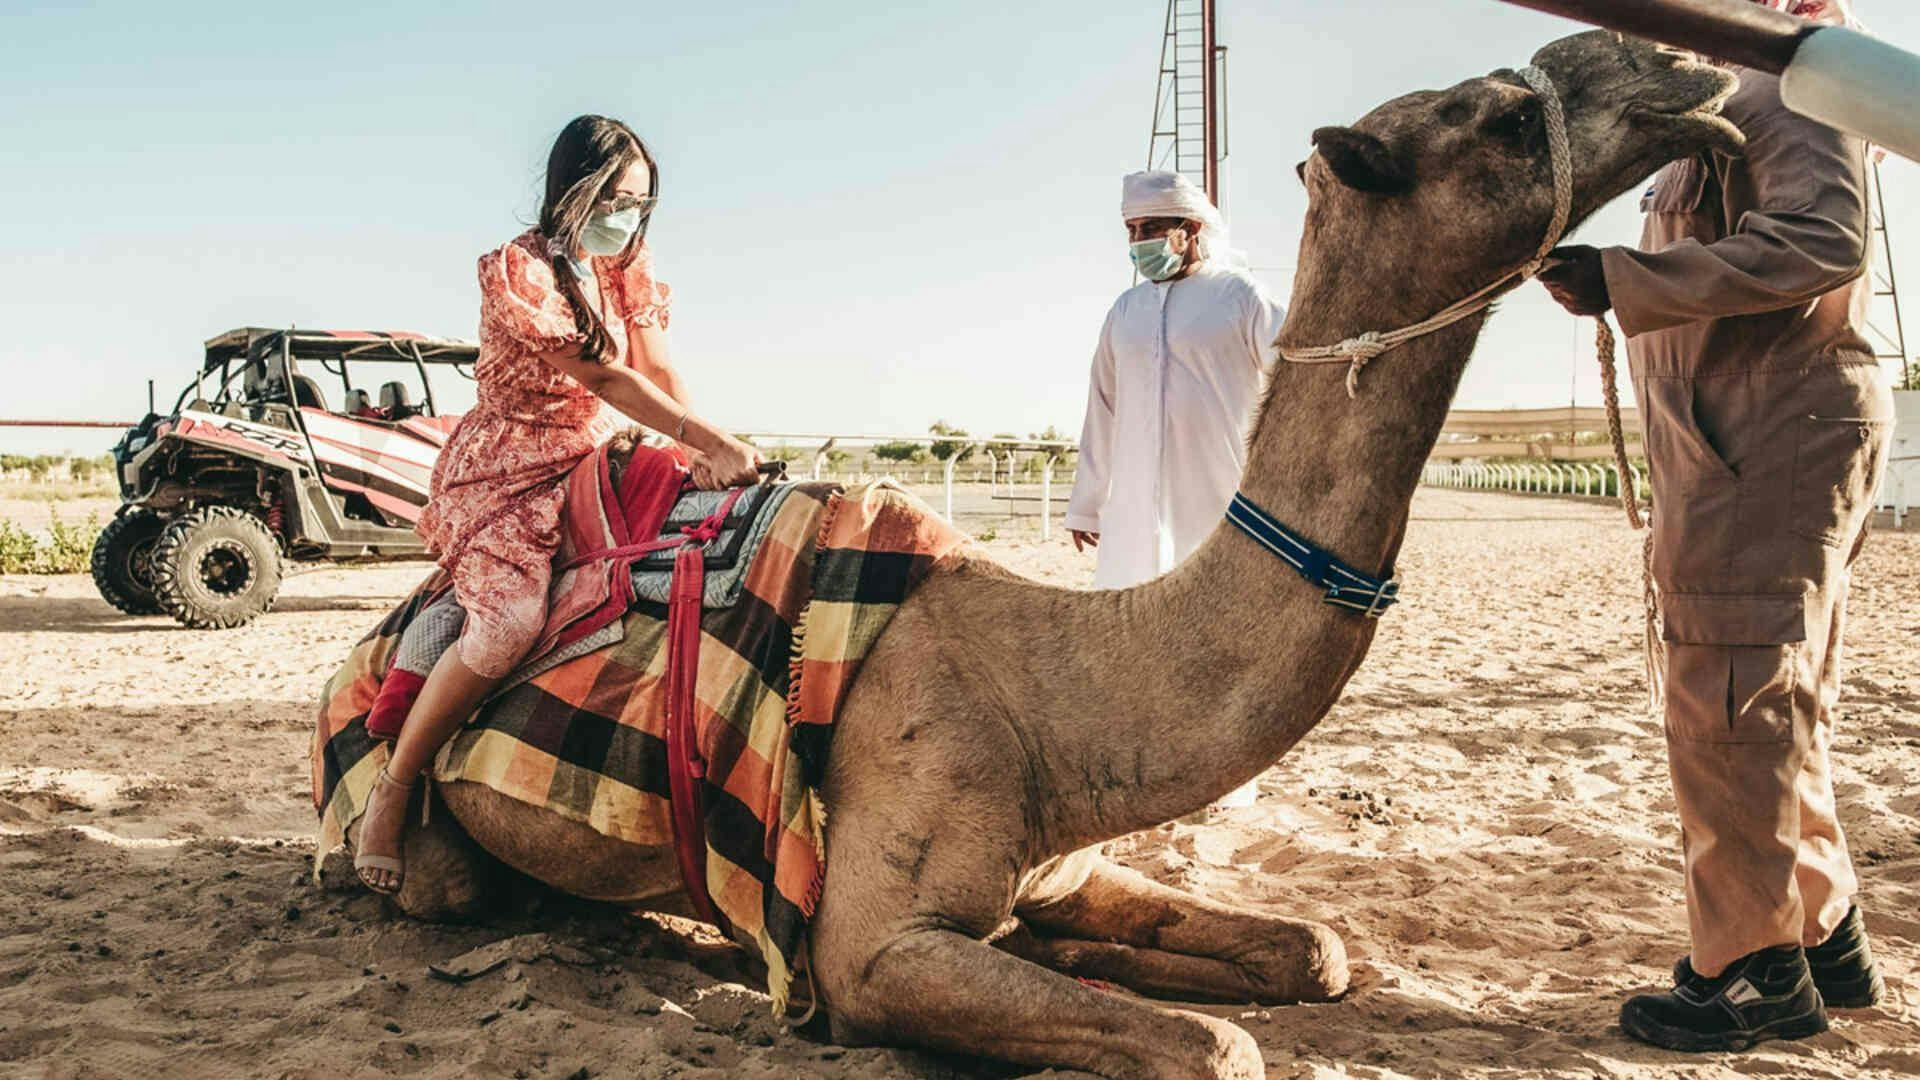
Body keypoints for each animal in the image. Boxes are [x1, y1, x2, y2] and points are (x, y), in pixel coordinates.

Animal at [354, 31, 1744, 1079]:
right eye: (1498, 113)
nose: (1688, 68)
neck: (1051, 699)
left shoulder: (1063, 859)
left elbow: (1319, 949)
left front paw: (1091, 954)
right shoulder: (873, 950)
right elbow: (1219, 1046)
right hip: (434, 835)